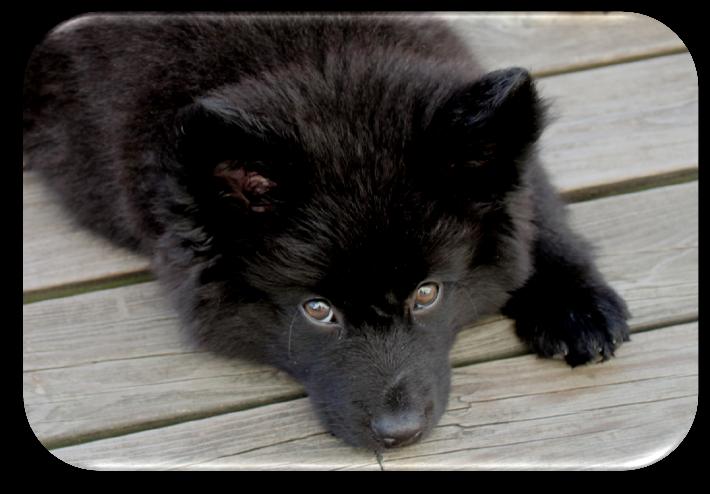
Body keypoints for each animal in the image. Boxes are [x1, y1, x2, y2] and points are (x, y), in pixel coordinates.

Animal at [25, 14, 632, 452]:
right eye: (318, 311)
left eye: (427, 294)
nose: (399, 434)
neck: (316, 60)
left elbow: (535, 206)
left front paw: (576, 304)